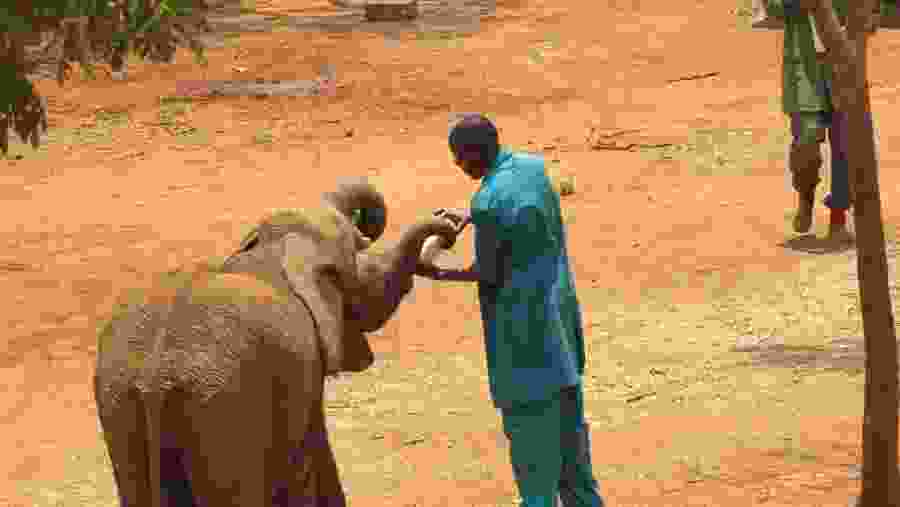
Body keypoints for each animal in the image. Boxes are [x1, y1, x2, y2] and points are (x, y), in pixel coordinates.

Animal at [93, 178, 459, 507]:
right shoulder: (303, 368)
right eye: (365, 266)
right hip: (225, 407)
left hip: (119, 402)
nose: (448, 221)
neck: (270, 252)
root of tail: (156, 377)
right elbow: (310, 455)